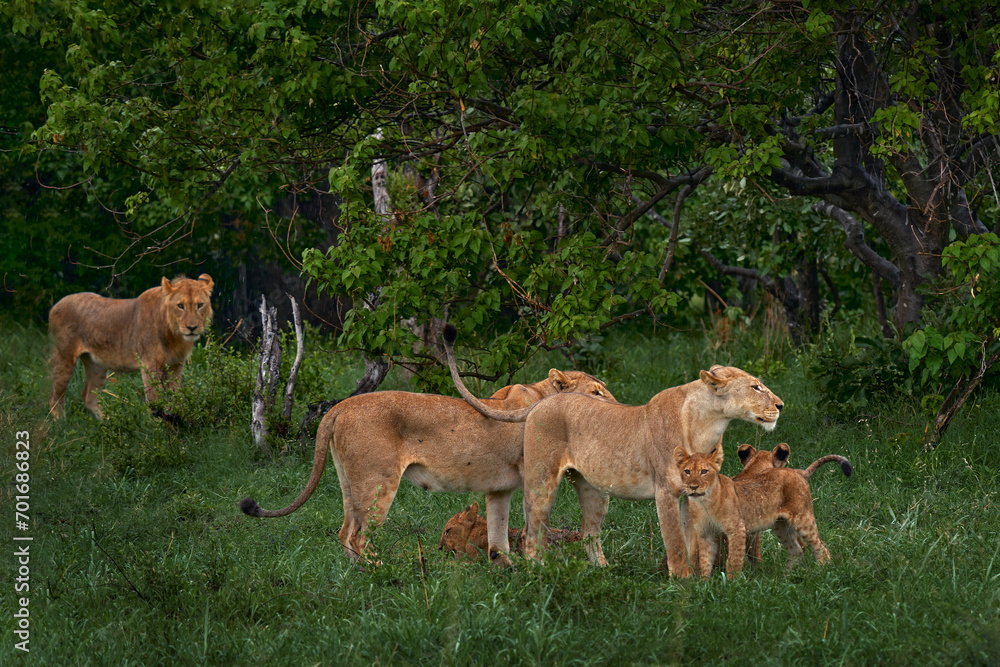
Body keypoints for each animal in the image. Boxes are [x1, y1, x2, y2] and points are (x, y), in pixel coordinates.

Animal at [48, 274, 214, 419]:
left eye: (200, 305)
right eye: (180, 306)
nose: (192, 327)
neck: (174, 335)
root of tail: (55, 305)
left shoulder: (175, 365)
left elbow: (175, 396)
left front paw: (176, 419)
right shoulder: (149, 364)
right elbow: (154, 399)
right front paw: (159, 426)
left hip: (97, 365)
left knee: (88, 396)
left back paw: (109, 423)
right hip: (64, 357)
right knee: (54, 396)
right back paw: (61, 423)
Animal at [676, 445, 834, 578]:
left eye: (704, 471)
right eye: (687, 471)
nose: (693, 487)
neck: (704, 502)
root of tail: (798, 472)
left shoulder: (738, 530)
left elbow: (734, 560)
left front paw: (732, 584)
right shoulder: (706, 534)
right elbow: (705, 562)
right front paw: (705, 584)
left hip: (802, 518)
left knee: (820, 546)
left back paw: (822, 570)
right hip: (780, 525)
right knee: (796, 549)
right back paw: (785, 576)